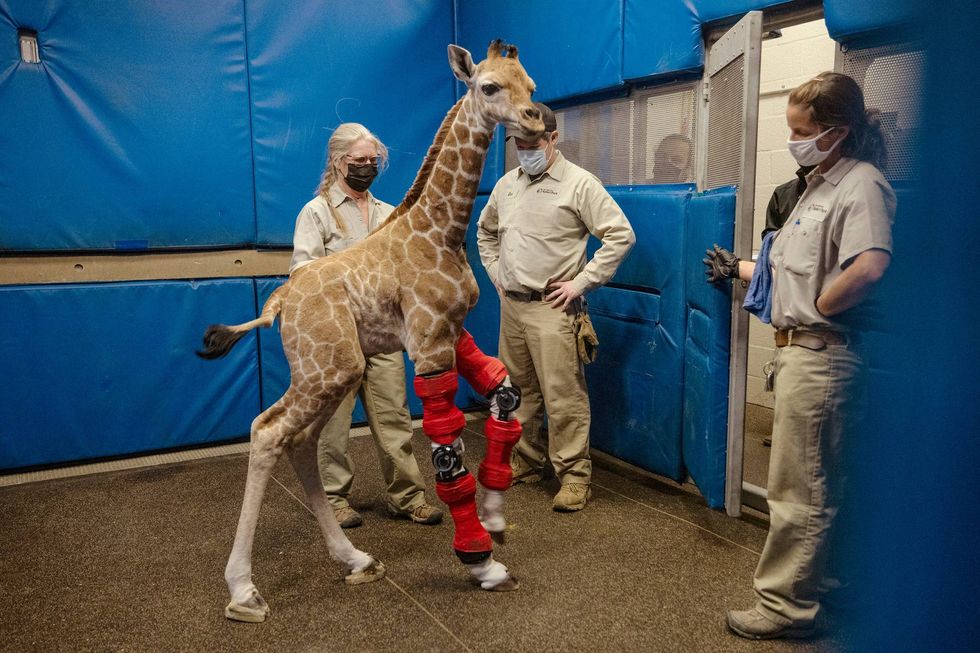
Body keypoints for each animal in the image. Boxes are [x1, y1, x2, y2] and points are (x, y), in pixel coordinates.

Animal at [197, 40, 544, 623]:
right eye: (490, 86)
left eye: (532, 85)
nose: (538, 119)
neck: (440, 231)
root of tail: (279, 304)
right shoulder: (428, 343)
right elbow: (448, 456)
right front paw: (482, 562)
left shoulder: (451, 332)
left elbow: (505, 394)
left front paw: (496, 517)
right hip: (329, 367)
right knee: (267, 430)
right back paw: (243, 592)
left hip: (335, 372)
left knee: (300, 441)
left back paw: (355, 558)